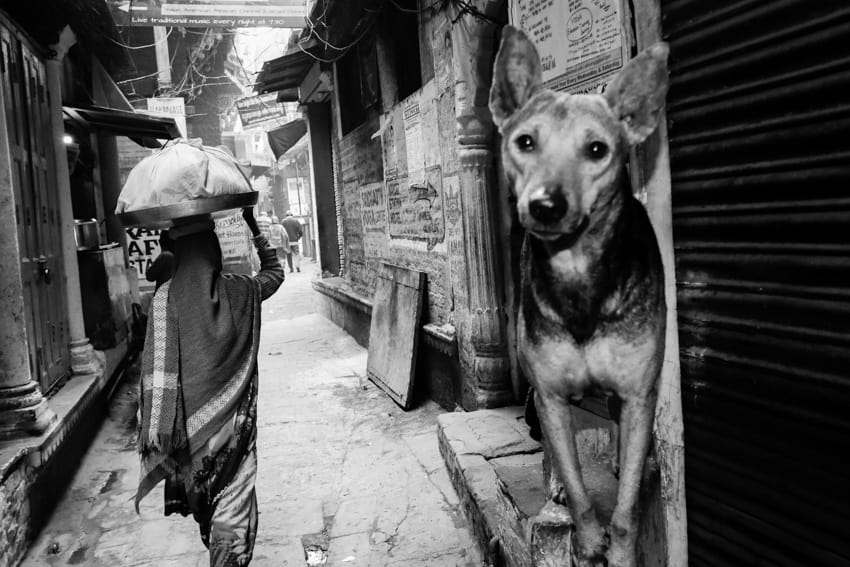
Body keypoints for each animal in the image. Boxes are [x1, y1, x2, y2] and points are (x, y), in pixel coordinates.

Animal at [490, 26, 668, 567]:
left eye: (596, 150)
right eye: (525, 142)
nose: (545, 205)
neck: (579, 275)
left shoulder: (638, 392)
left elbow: (627, 511)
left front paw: (622, 549)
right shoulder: (549, 393)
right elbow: (576, 483)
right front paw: (589, 541)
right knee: (554, 448)